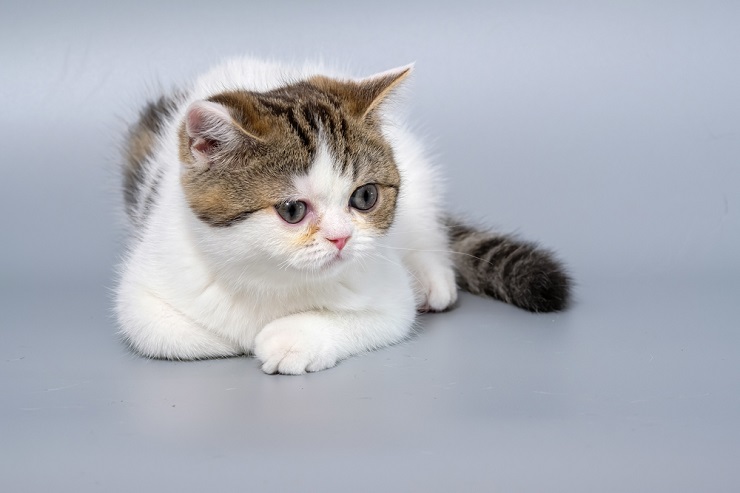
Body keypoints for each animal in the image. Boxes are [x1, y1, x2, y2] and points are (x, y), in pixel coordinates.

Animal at [115, 56, 568, 372]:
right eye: (293, 209)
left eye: (365, 196)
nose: (341, 237)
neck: (269, 277)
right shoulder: (148, 280)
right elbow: (160, 330)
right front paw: (241, 336)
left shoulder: (387, 293)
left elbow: (379, 316)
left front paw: (288, 338)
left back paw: (431, 277)